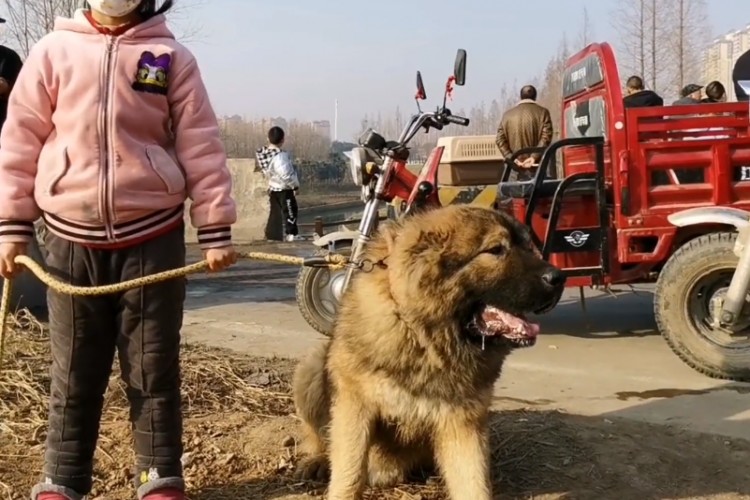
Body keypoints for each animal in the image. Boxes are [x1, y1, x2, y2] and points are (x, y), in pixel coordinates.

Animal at [294, 205, 564, 498]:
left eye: (528, 246)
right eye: (496, 250)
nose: (559, 277)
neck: (423, 336)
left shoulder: (463, 423)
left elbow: (473, 483)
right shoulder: (355, 405)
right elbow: (349, 473)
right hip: (313, 366)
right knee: (317, 437)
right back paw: (317, 461)